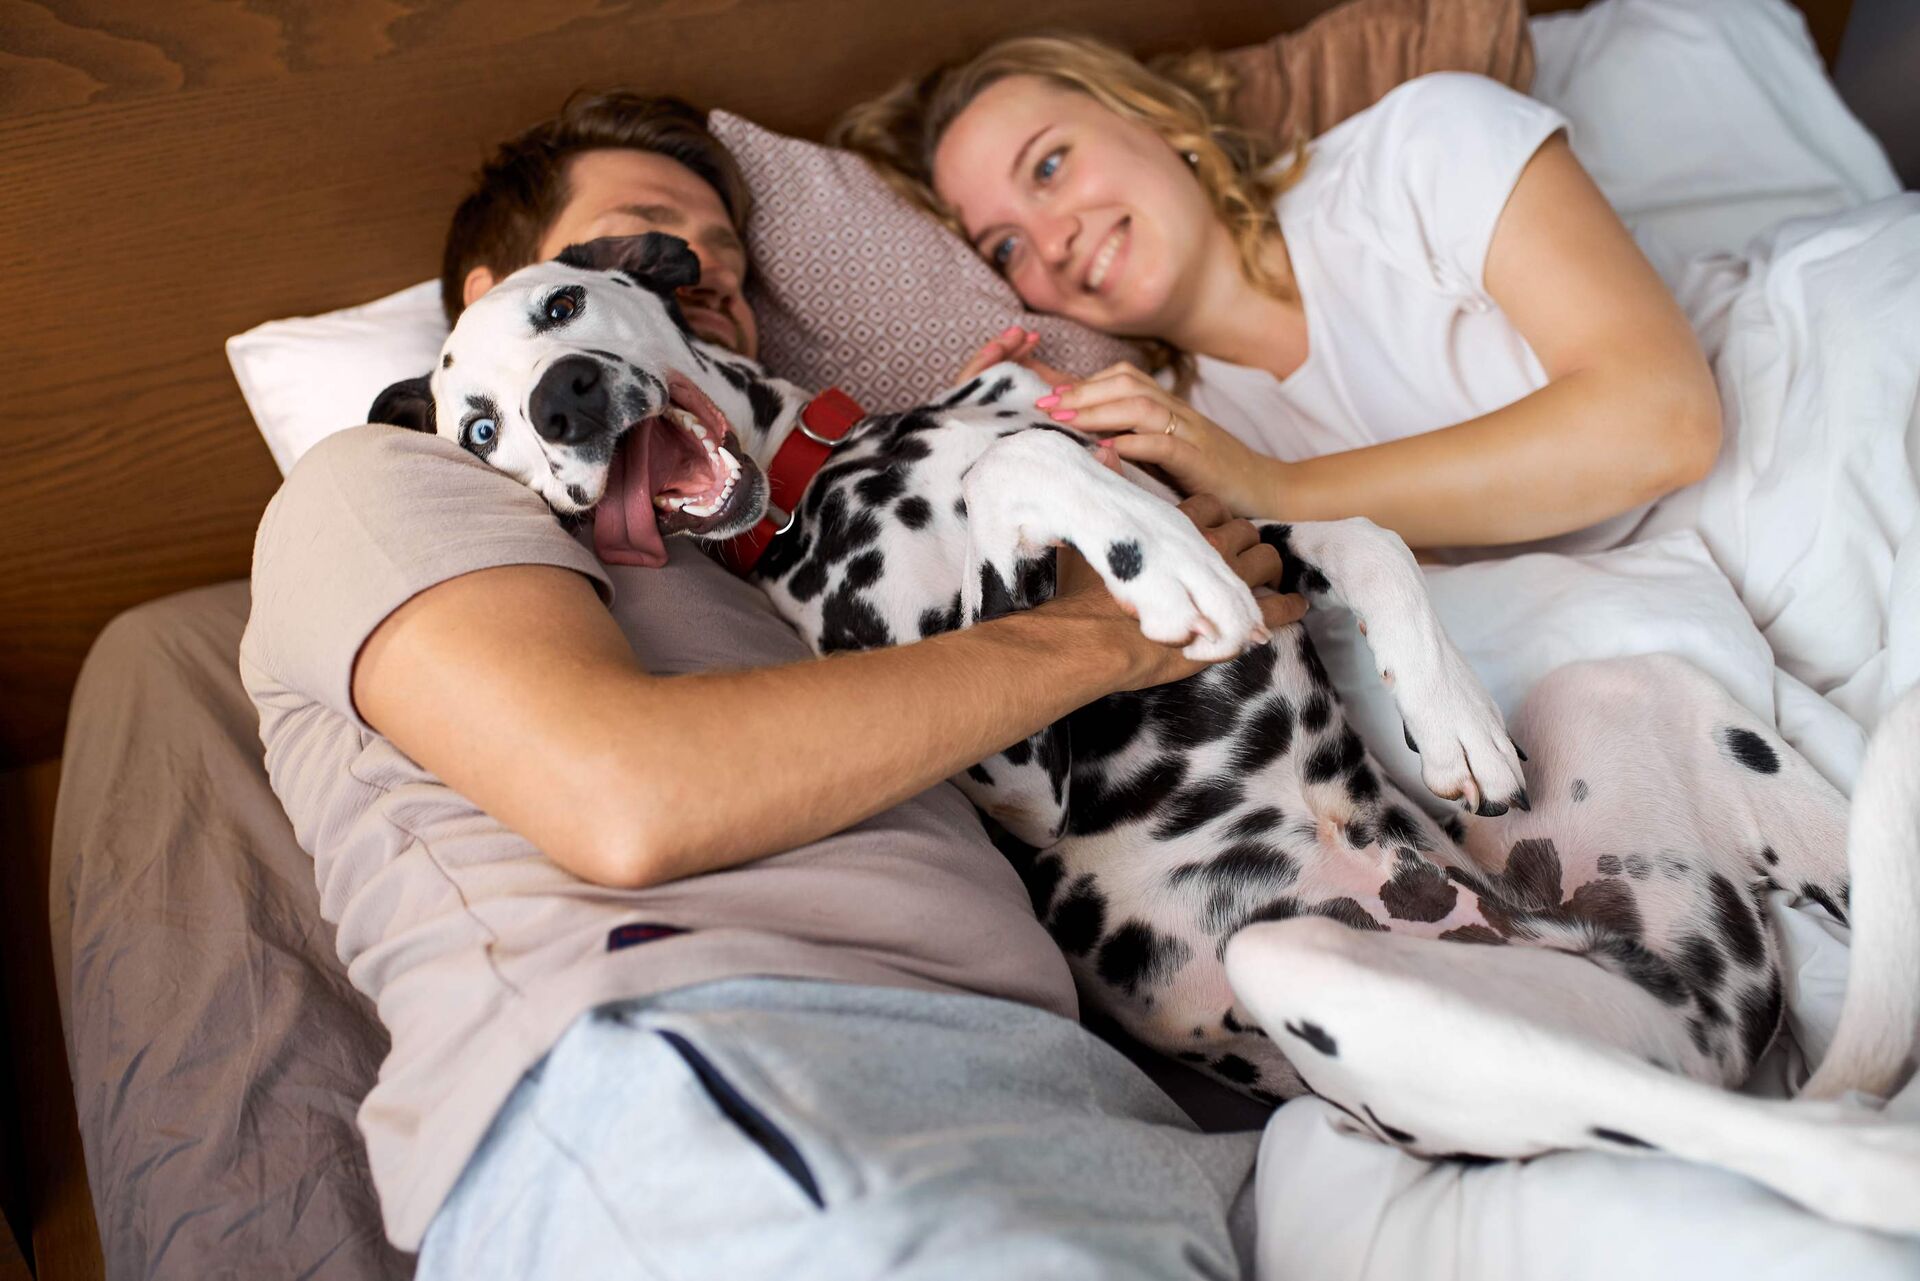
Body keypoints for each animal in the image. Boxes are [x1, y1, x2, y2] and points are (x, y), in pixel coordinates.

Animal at [374, 233, 1920, 1229]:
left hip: (1649, 714)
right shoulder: (1017, 769)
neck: (829, 466)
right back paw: (1862, 1174)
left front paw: (1452, 716)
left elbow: (1354, 531)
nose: (561, 405)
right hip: (1330, 978)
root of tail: (1679, 1007)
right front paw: (1147, 560)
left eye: (562, 304)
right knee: (1740, 1131)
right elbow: (1025, 467)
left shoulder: (1239, 508)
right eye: (476, 429)